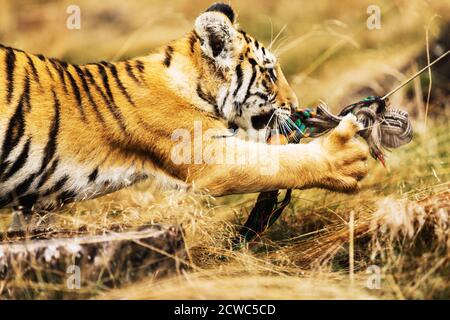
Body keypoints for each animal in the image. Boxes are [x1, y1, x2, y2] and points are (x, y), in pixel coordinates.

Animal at [0, 1, 370, 228]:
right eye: (268, 73)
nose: (295, 105)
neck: (194, 83)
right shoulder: (206, 154)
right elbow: (275, 162)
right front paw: (341, 159)